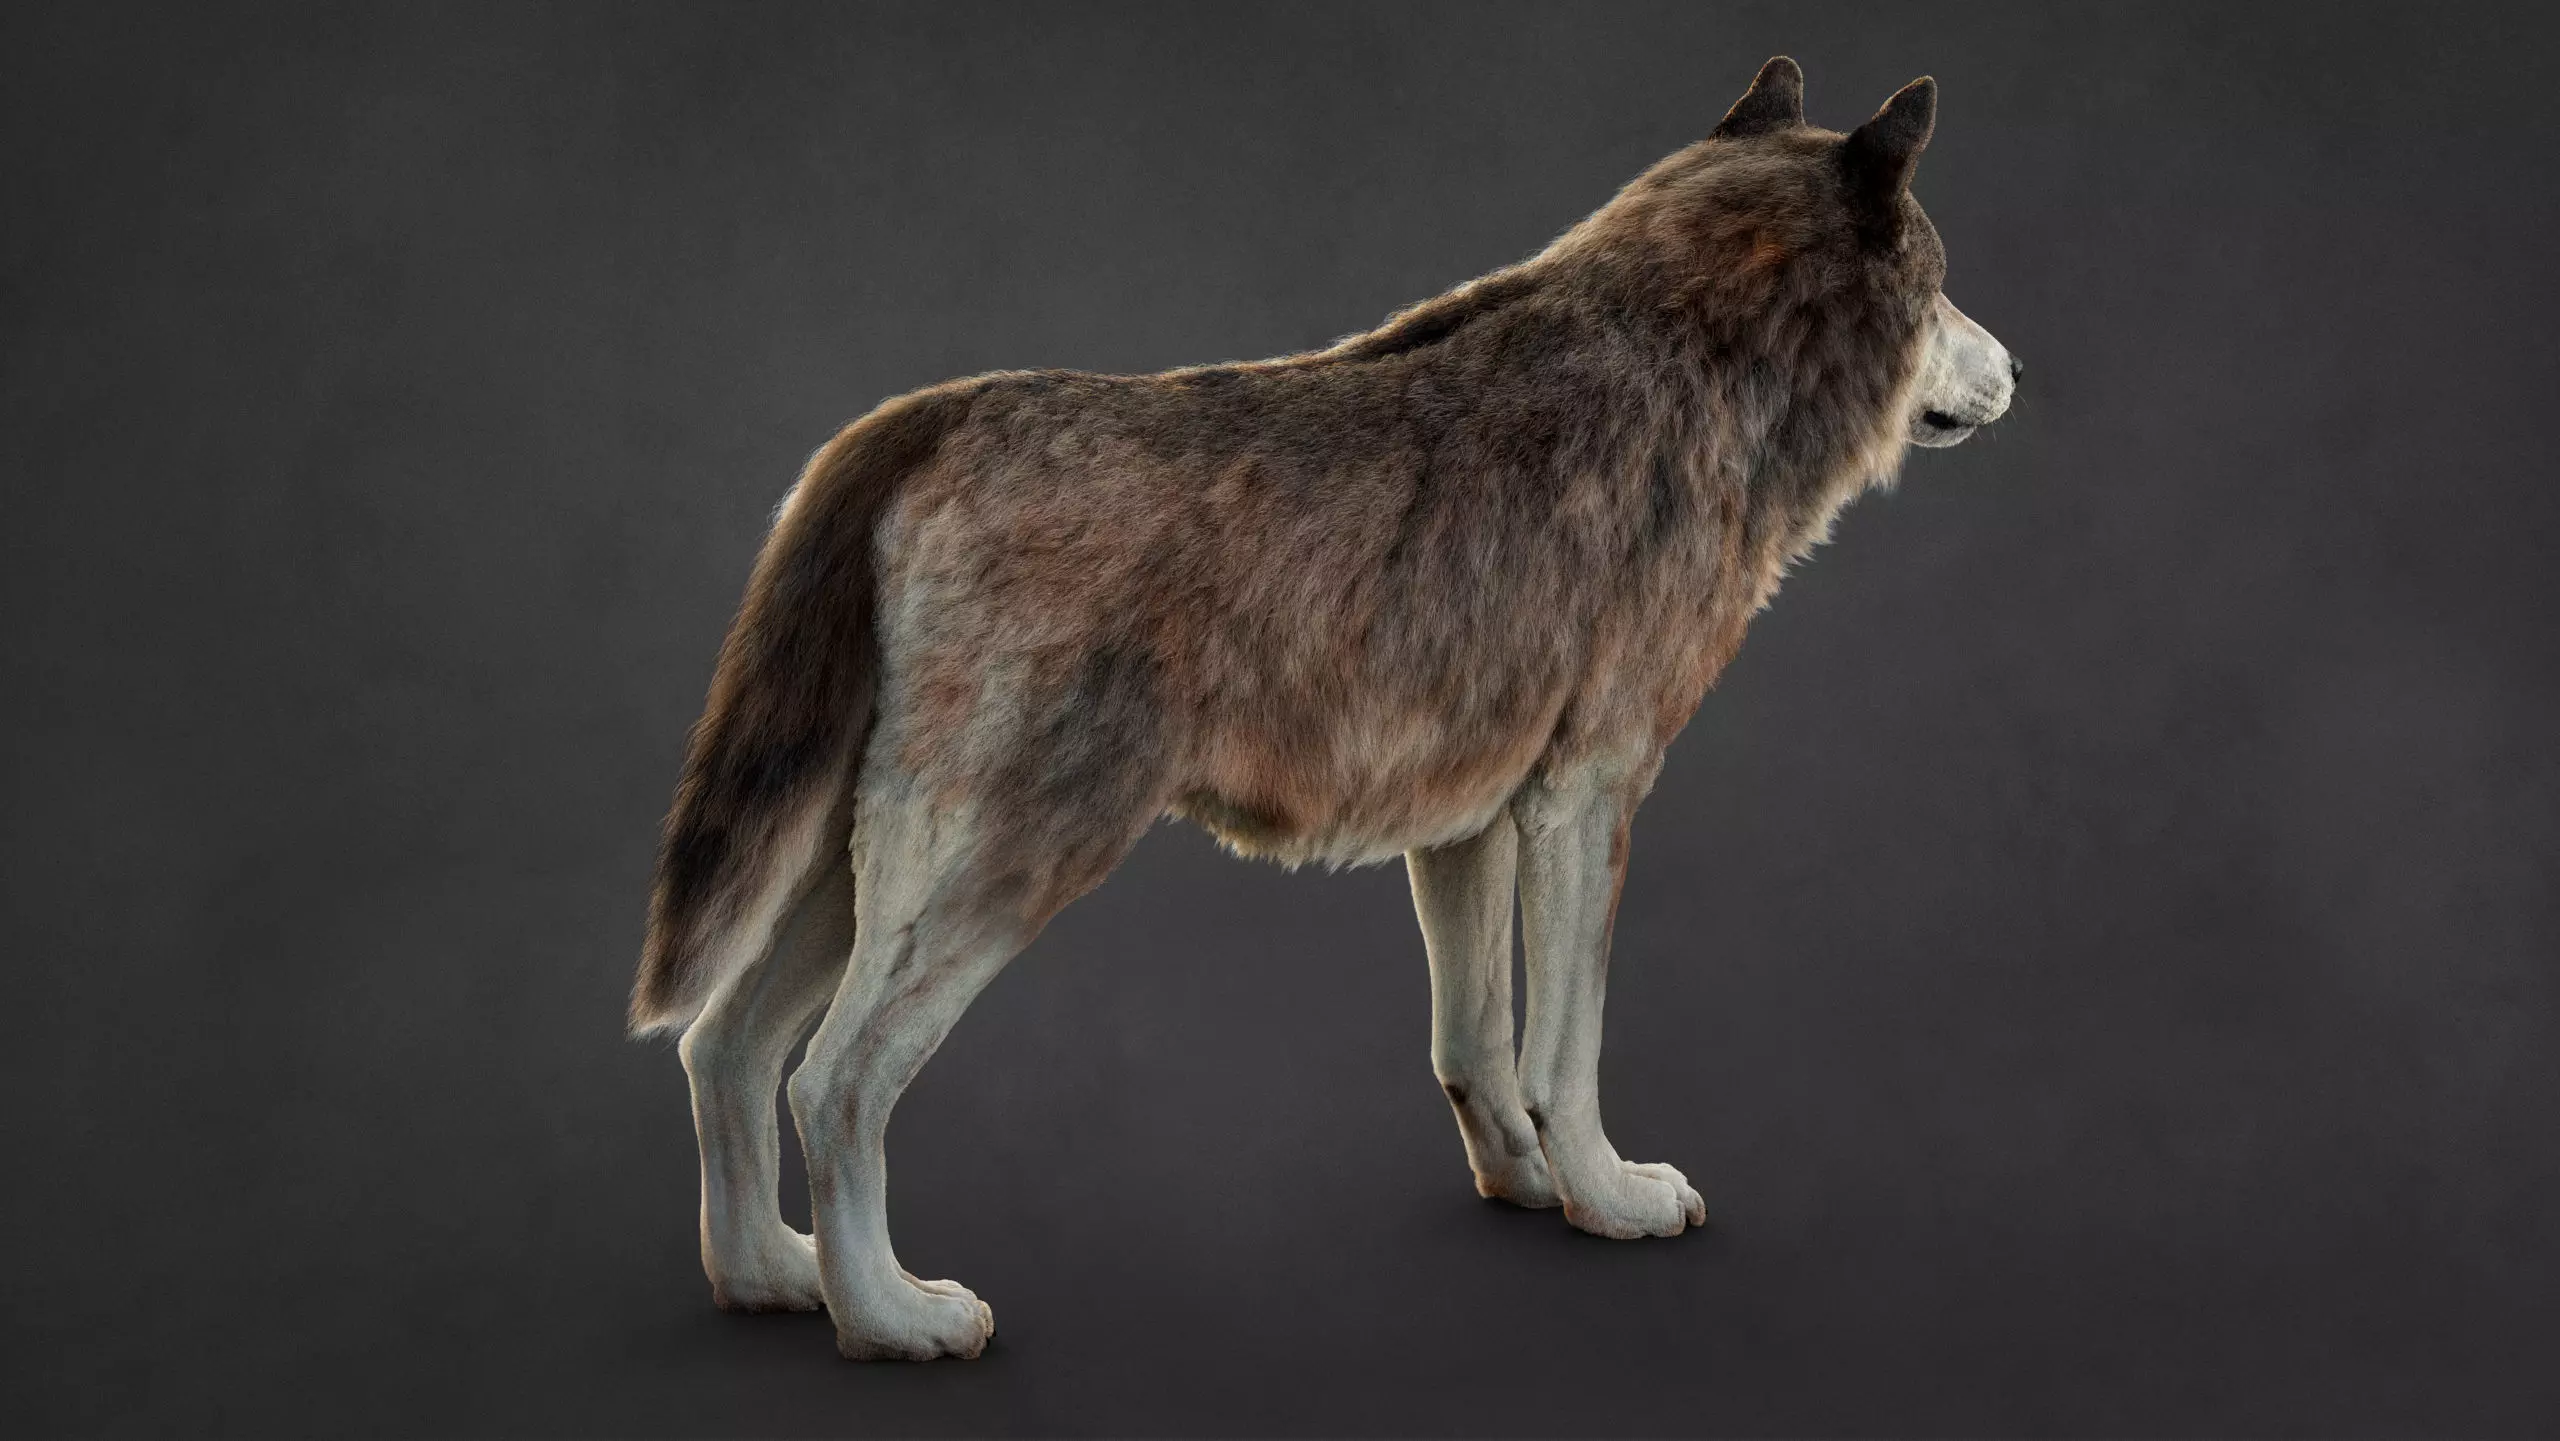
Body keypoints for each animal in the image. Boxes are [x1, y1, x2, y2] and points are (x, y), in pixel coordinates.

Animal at [628, 57, 2018, 1360]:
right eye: (1946, 281)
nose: (2014, 364)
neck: (1692, 359)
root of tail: (930, 416)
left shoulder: (1466, 823)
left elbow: (1477, 1046)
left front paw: (1524, 1184)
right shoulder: (1589, 798)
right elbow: (1567, 1050)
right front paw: (1610, 1198)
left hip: (847, 869)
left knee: (722, 1049)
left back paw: (776, 1278)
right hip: (1002, 868)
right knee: (833, 1080)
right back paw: (889, 1317)